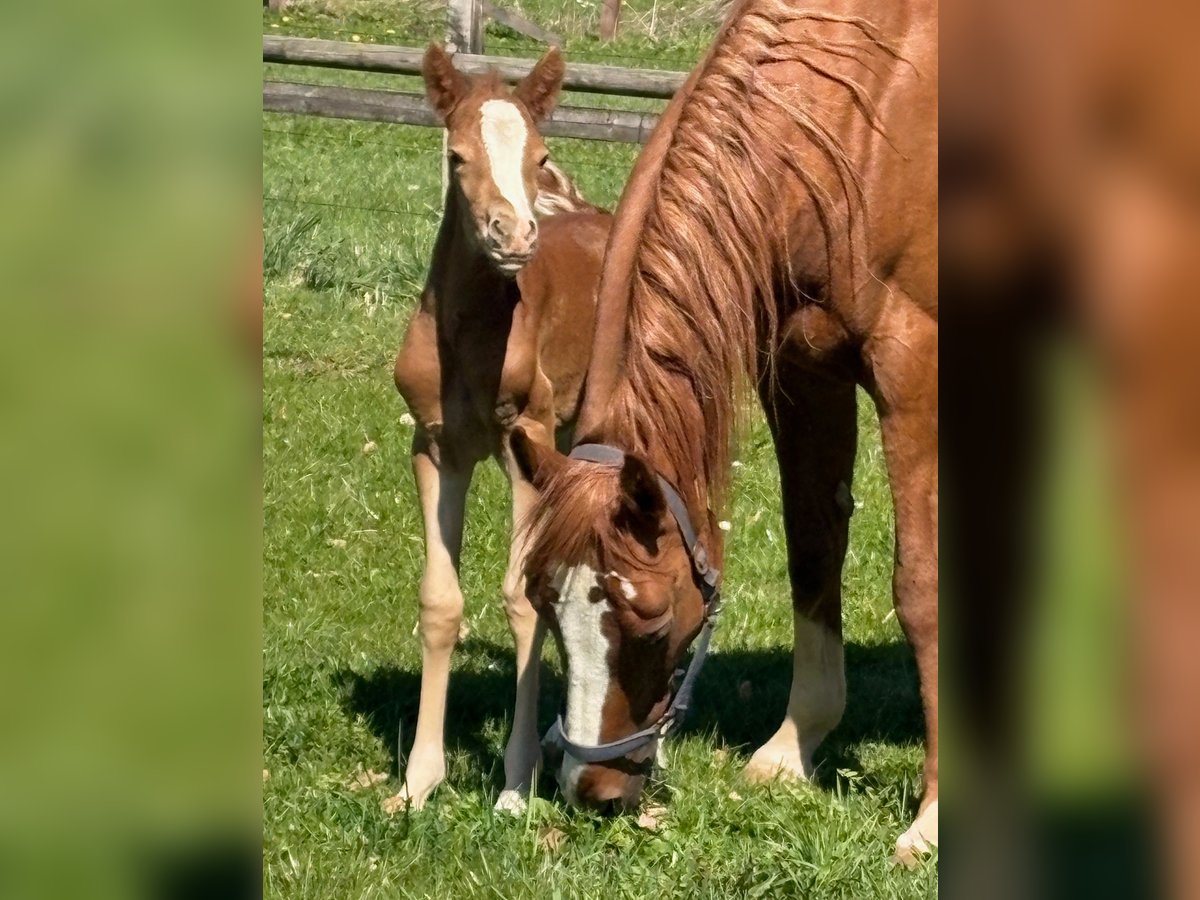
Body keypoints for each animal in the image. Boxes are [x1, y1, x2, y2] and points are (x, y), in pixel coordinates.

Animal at [388, 44, 612, 814]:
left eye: (539, 156)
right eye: (455, 156)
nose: (513, 236)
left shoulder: (523, 445)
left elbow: (523, 599)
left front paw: (516, 785)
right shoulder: (436, 447)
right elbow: (438, 602)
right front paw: (417, 782)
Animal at [508, 0, 938, 861]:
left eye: (650, 620)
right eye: (547, 607)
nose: (591, 790)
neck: (863, 115)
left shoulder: (917, 375)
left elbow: (921, 587)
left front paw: (934, 815)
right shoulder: (803, 370)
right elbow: (814, 551)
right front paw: (793, 748)